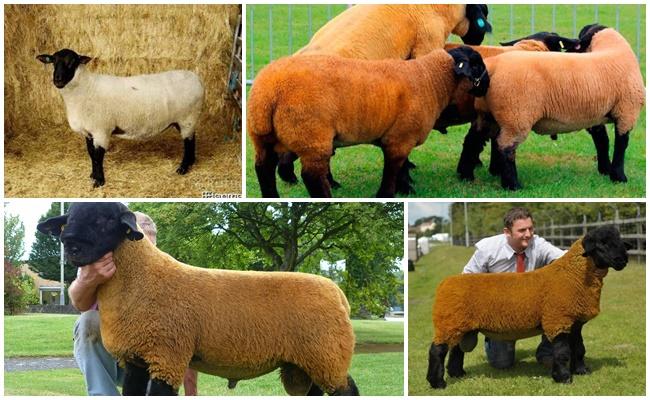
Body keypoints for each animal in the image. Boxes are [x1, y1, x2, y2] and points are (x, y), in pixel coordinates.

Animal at [36, 49, 204, 188]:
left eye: (72, 62)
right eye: (53, 61)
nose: (58, 80)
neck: (85, 88)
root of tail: (197, 79)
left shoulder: (101, 130)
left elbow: (98, 156)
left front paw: (99, 181)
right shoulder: (88, 132)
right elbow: (91, 154)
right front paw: (93, 175)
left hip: (187, 118)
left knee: (188, 142)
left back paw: (183, 168)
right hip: (186, 121)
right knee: (192, 139)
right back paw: (191, 162)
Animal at [36, 202, 359, 396]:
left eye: (105, 219)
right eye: (69, 218)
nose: (70, 245)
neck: (142, 279)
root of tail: (338, 294)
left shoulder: (167, 356)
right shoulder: (136, 360)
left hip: (327, 356)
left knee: (348, 389)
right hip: (303, 366)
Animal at [247, 46, 490, 198]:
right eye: (477, 65)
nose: (488, 84)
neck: (430, 79)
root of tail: (269, 89)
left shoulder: (399, 137)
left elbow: (401, 168)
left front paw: (406, 189)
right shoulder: (400, 137)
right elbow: (392, 170)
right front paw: (388, 194)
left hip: (263, 136)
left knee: (263, 168)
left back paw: (270, 196)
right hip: (311, 137)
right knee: (311, 176)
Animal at [426, 225, 629, 389]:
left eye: (618, 241)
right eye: (601, 244)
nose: (622, 260)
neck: (575, 275)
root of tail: (445, 283)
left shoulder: (574, 322)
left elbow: (579, 348)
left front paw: (581, 370)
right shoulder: (558, 319)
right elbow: (563, 352)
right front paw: (563, 378)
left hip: (460, 324)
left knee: (456, 349)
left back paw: (457, 373)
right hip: (449, 322)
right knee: (437, 350)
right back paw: (437, 383)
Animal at [472, 25, 645, 190]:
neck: (613, 47)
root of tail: (492, 67)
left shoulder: (596, 115)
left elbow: (602, 141)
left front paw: (605, 170)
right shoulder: (627, 111)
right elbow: (621, 144)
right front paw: (619, 177)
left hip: (492, 115)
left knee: (485, 140)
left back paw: (485, 173)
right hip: (516, 116)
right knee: (505, 147)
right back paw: (513, 186)